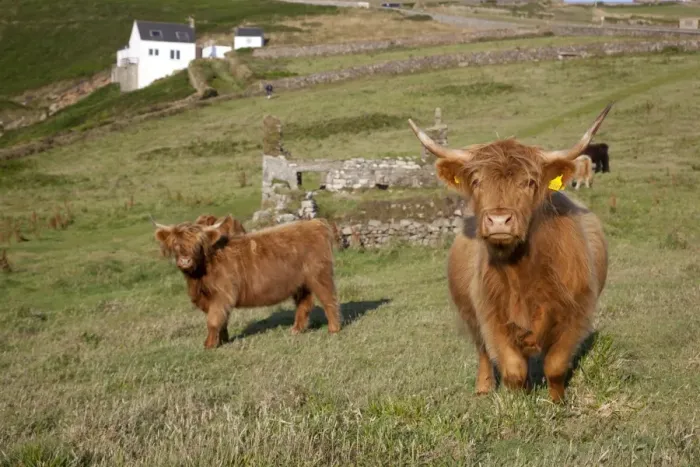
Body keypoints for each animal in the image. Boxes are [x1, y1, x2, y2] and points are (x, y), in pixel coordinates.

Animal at [151, 215, 342, 349]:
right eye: (176, 244)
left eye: (198, 244)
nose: (185, 261)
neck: (198, 277)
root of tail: (316, 223)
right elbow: (222, 320)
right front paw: (223, 340)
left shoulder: (222, 295)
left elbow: (213, 320)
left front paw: (209, 345)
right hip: (301, 283)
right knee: (304, 303)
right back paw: (296, 330)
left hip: (319, 276)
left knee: (329, 300)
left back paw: (334, 329)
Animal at [407, 104, 612, 403]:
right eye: (477, 181)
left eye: (529, 182)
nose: (499, 221)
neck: (523, 273)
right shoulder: (492, 316)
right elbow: (513, 369)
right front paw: (519, 403)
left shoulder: (575, 314)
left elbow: (555, 365)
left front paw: (557, 403)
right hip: (471, 315)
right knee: (482, 350)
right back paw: (483, 388)